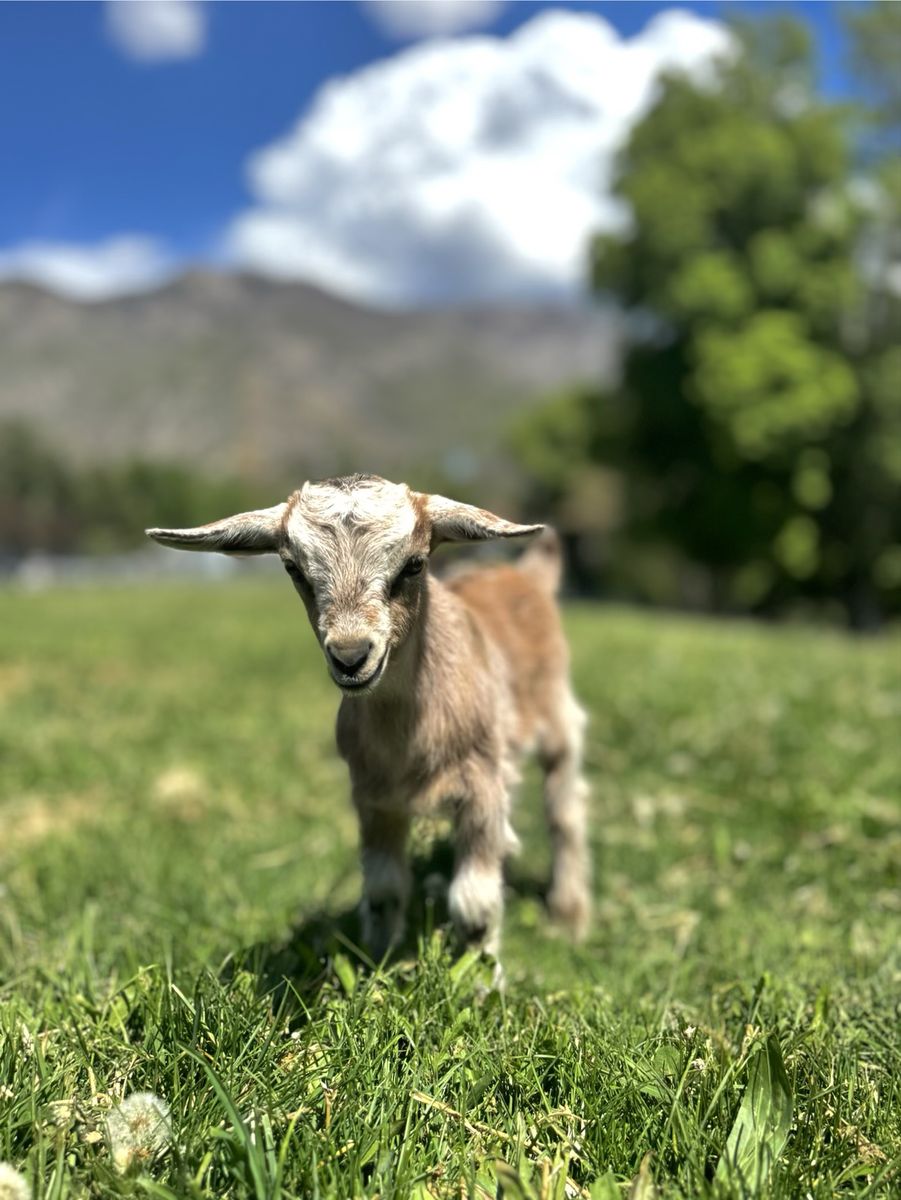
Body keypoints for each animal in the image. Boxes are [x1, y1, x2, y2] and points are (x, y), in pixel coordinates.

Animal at [146, 474, 591, 965]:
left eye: (414, 565)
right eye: (293, 568)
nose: (351, 656)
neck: (411, 737)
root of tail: (526, 575)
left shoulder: (483, 785)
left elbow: (474, 903)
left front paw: (480, 977)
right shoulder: (374, 796)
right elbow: (382, 891)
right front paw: (375, 964)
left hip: (558, 721)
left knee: (565, 811)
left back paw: (569, 917)